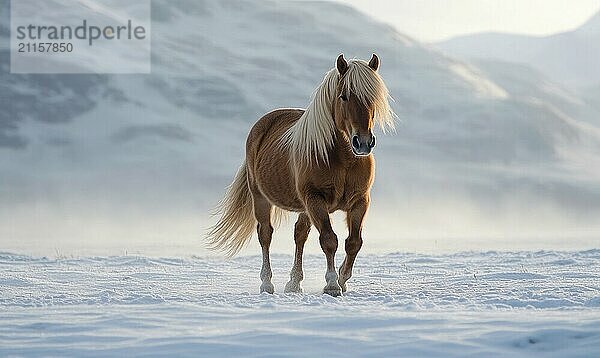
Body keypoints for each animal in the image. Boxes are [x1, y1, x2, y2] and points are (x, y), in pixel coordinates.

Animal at [206, 53, 394, 296]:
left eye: (374, 98)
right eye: (344, 97)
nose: (362, 143)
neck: (342, 158)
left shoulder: (360, 201)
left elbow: (353, 242)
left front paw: (342, 280)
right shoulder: (315, 199)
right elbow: (329, 240)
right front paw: (332, 284)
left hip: (305, 207)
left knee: (300, 234)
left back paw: (294, 283)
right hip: (262, 197)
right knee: (265, 234)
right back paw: (267, 284)